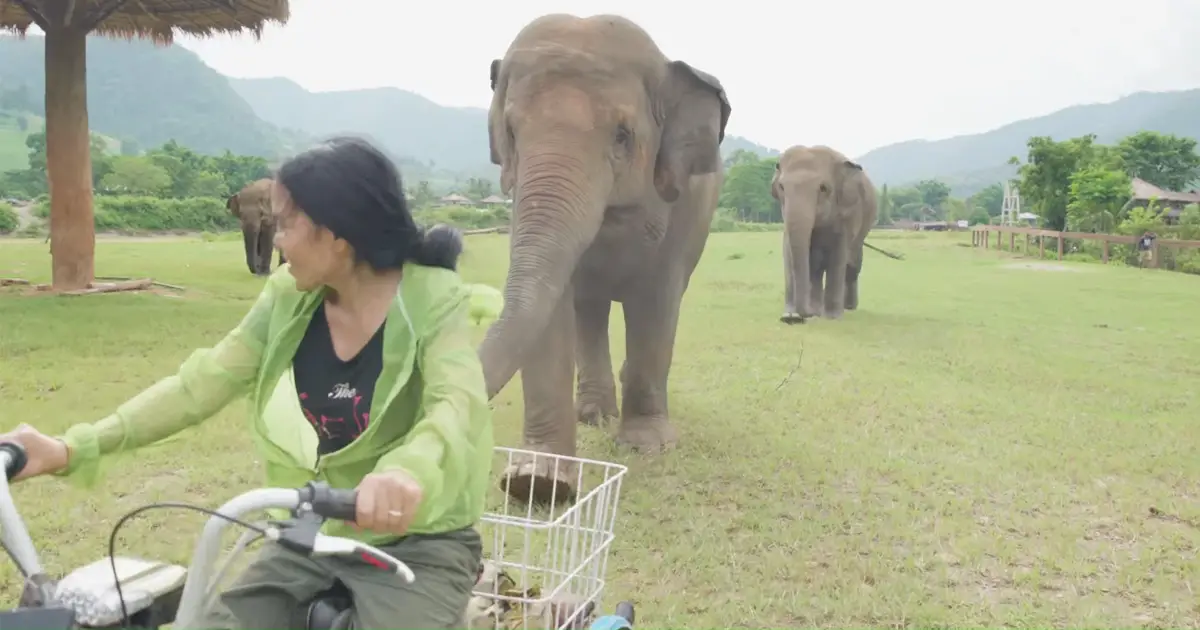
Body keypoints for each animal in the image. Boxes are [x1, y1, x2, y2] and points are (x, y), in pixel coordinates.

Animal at [477, 13, 729, 501]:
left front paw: (648, 446)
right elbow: (551, 307)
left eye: (622, 136)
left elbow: (656, 298)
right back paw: (594, 415)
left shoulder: (680, 208)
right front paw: (536, 482)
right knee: (589, 311)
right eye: (511, 133)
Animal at [772, 145, 878, 321]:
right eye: (781, 187)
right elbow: (789, 252)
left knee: (852, 265)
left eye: (823, 188)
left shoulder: (847, 214)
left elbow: (838, 255)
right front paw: (790, 315)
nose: (803, 316)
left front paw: (832, 317)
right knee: (817, 266)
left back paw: (847, 308)